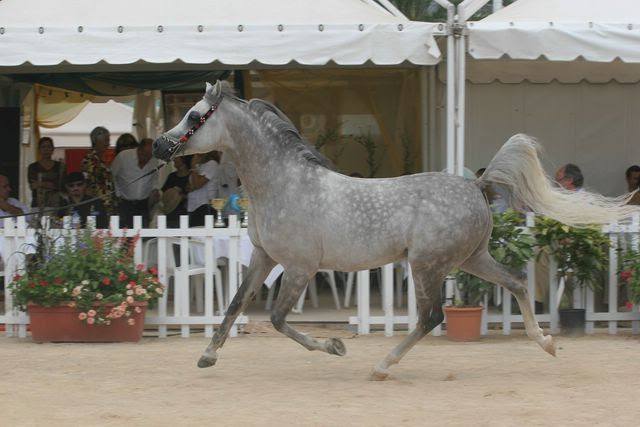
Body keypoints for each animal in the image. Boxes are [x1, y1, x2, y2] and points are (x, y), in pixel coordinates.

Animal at [152, 81, 636, 382]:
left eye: (193, 115)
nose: (159, 145)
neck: (285, 183)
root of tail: (476, 185)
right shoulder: (263, 258)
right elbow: (235, 305)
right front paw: (207, 356)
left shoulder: (300, 267)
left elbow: (277, 319)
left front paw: (335, 347)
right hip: (470, 258)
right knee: (515, 282)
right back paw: (547, 342)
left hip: (427, 265)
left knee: (431, 317)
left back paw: (382, 366)